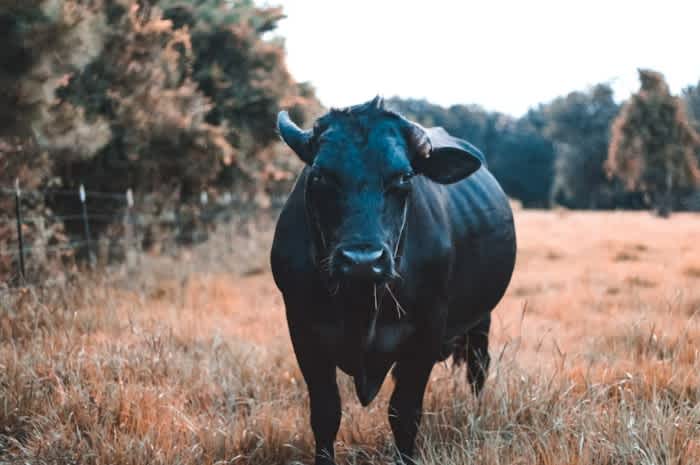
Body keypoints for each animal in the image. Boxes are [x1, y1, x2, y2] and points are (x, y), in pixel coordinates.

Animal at [270, 96, 516, 462]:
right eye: (320, 176)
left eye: (403, 177)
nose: (362, 261)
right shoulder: (302, 330)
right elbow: (326, 413)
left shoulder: (427, 331)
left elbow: (404, 413)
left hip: (481, 318)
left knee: (478, 368)